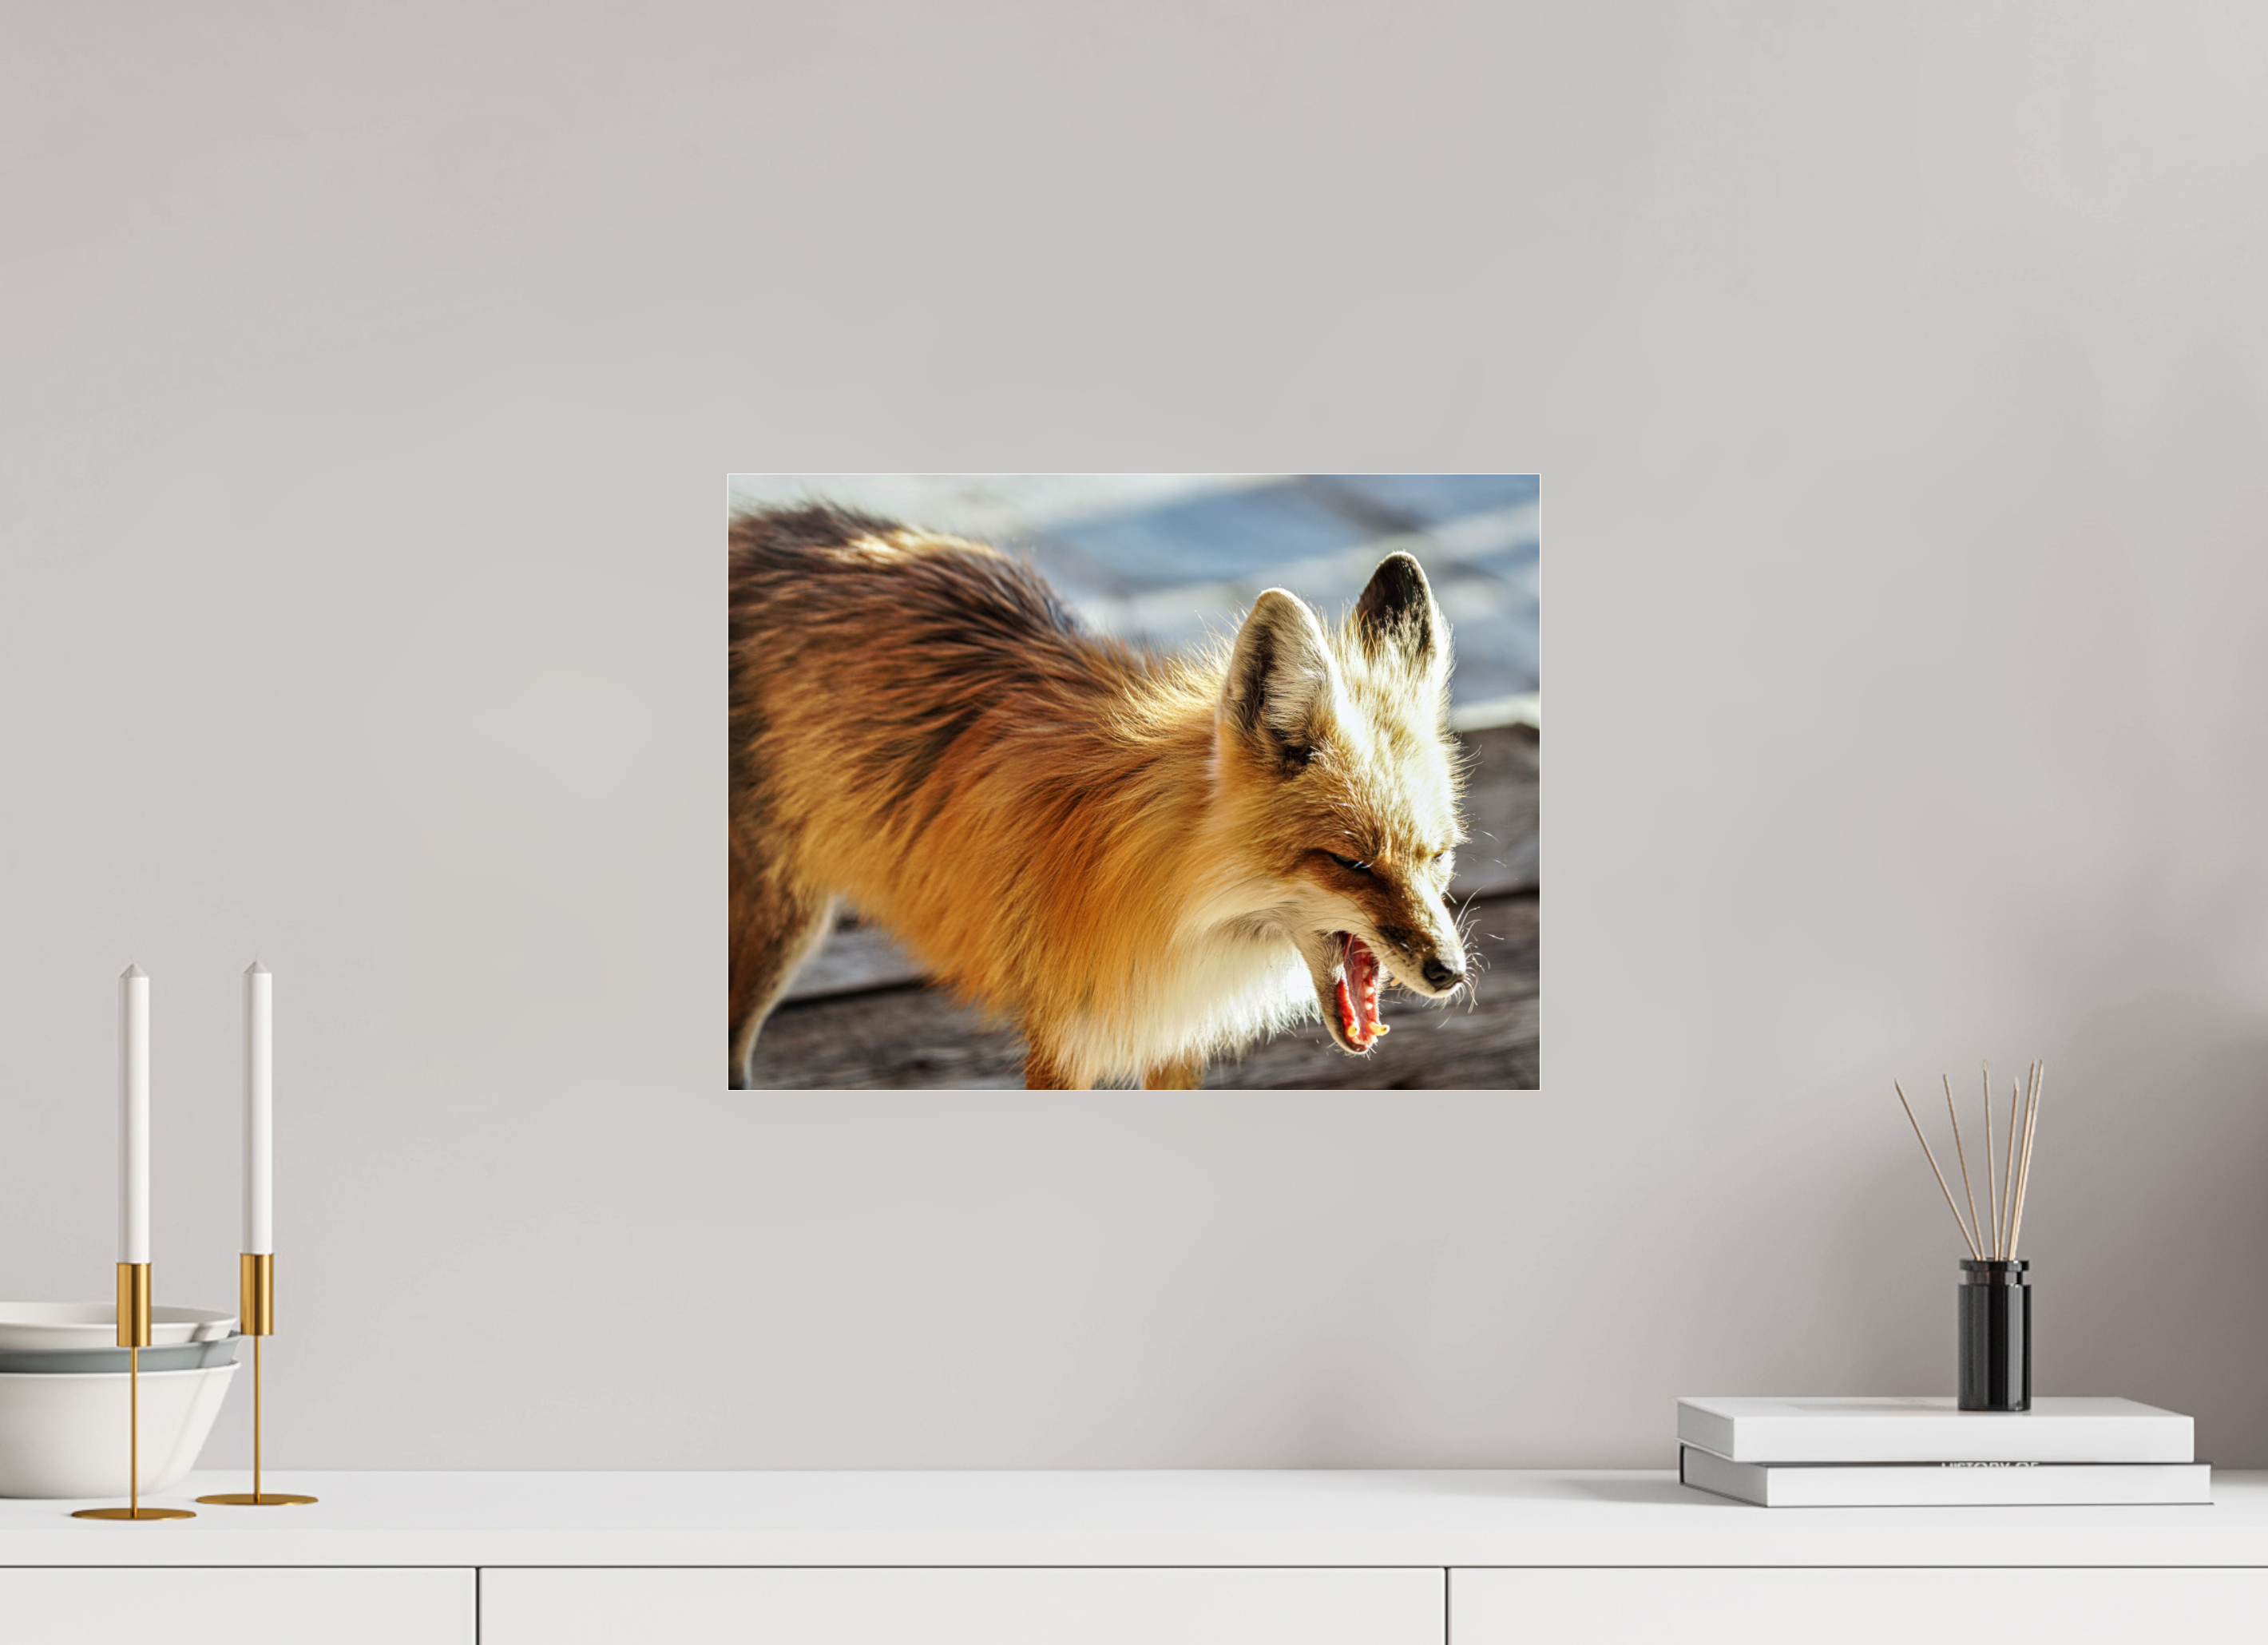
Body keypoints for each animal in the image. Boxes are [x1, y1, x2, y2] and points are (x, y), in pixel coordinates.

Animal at [729, 505, 1471, 1090]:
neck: (1180, 907)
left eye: (1436, 858)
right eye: (1351, 863)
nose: (1451, 974)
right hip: (779, 930)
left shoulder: (1172, 1038)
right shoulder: (1064, 1042)